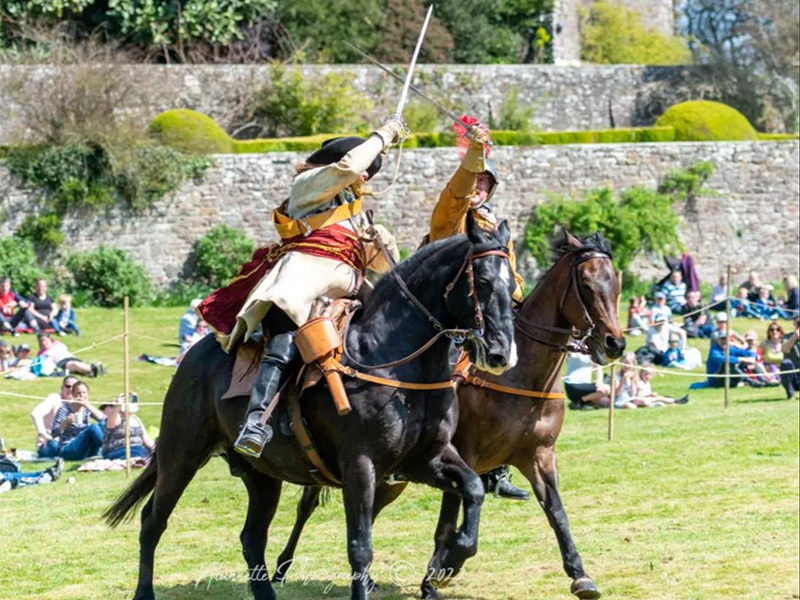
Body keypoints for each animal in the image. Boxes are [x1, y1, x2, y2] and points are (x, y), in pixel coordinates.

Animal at [104, 216, 520, 600]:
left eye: (512, 286)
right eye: (483, 282)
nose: (501, 353)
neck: (392, 359)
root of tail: (192, 357)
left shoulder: (423, 461)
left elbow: (472, 489)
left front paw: (453, 558)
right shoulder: (361, 467)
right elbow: (360, 548)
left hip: (263, 476)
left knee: (251, 538)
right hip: (182, 456)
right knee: (152, 522)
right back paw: (144, 591)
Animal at [272, 231, 620, 600]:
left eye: (616, 283)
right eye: (586, 284)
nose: (615, 343)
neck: (520, 376)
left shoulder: (538, 457)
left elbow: (556, 512)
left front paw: (580, 574)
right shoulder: (463, 454)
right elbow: (449, 523)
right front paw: (440, 571)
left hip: (390, 475)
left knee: (370, 511)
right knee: (308, 505)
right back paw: (281, 566)